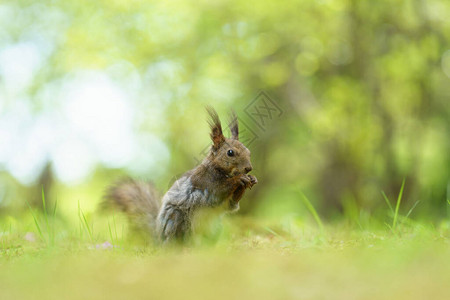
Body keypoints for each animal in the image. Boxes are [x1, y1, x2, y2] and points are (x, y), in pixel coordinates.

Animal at [102, 106, 256, 243]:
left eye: (249, 151)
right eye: (230, 153)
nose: (249, 168)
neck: (221, 171)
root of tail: (158, 238)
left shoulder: (227, 203)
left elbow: (231, 205)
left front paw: (251, 180)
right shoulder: (205, 183)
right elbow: (219, 190)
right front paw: (239, 179)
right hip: (176, 218)